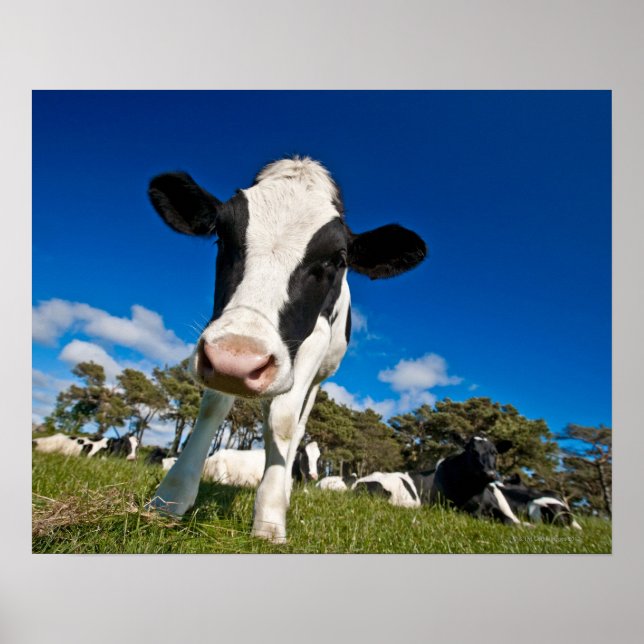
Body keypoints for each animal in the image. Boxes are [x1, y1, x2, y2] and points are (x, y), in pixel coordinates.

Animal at [146, 156, 426, 541]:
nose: (238, 358)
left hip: (317, 379)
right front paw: (170, 498)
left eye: (337, 260)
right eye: (221, 236)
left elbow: (283, 421)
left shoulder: (315, 339)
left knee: (295, 422)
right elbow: (213, 406)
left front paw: (269, 518)